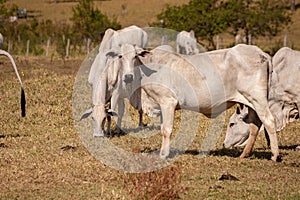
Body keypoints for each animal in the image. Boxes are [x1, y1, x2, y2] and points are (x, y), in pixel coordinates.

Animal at [109, 43, 278, 161]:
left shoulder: (167, 102)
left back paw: (275, 155)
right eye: (120, 57)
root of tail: (261, 53)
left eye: (135, 56)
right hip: (251, 103)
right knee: (255, 125)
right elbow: (163, 128)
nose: (128, 76)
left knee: (269, 121)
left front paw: (163, 155)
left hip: (257, 98)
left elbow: (166, 129)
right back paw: (244, 154)